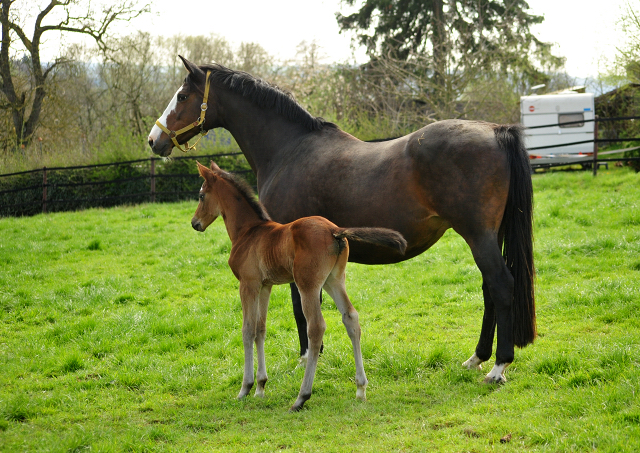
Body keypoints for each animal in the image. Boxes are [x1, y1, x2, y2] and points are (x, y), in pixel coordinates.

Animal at [192, 161, 408, 412]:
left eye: (201, 195)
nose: (195, 223)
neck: (248, 232)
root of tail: (335, 231)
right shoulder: (265, 286)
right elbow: (261, 329)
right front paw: (261, 387)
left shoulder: (248, 284)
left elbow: (247, 330)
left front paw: (245, 388)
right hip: (334, 280)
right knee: (351, 317)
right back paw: (361, 389)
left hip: (308, 285)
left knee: (316, 327)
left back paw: (302, 396)